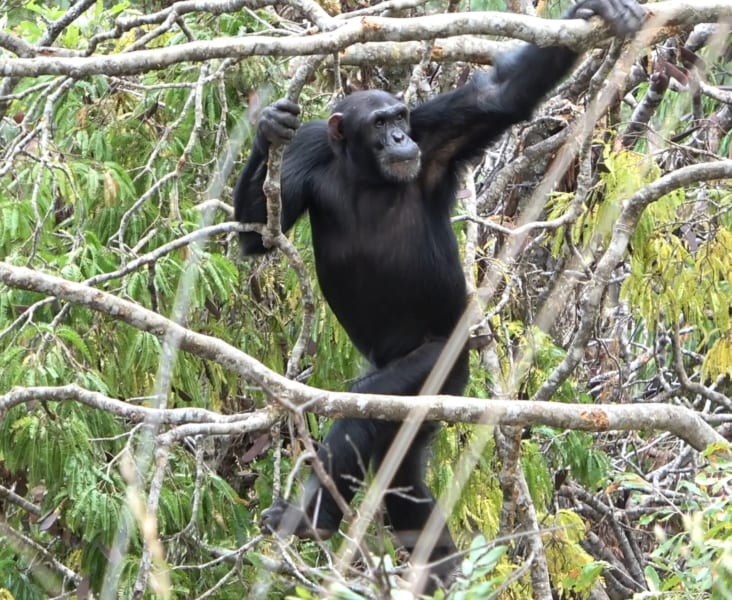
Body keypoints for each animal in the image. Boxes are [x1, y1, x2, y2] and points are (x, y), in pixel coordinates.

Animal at [234, 0, 640, 588]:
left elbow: (498, 97)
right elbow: (259, 237)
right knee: (401, 474)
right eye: (379, 123)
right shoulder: (312, 145)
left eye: (400, 118)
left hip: (442, 366)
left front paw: (595, 13)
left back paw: (316, 521)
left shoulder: (437, 133)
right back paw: (436, 567)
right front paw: (268, 127)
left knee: (369, 409)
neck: (362, 170)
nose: (400, 140)